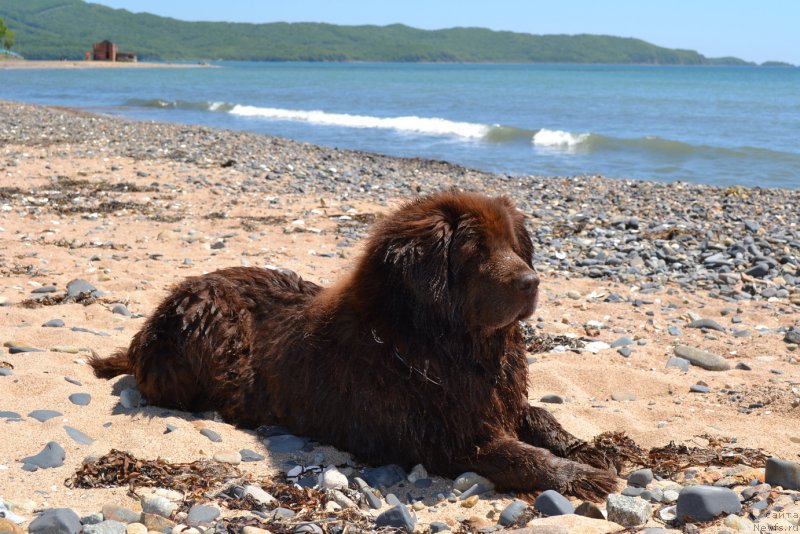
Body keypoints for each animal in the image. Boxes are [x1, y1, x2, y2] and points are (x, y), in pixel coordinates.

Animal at [92, 192, 620, 502]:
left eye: (514, 246)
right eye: (475, 251)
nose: (532, 282)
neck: (432, 342)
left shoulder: (495, 399)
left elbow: (541, 416)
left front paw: (592, 450)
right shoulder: (449, 438)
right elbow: (519, 455)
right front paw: (579, 476)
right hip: (209, 317)